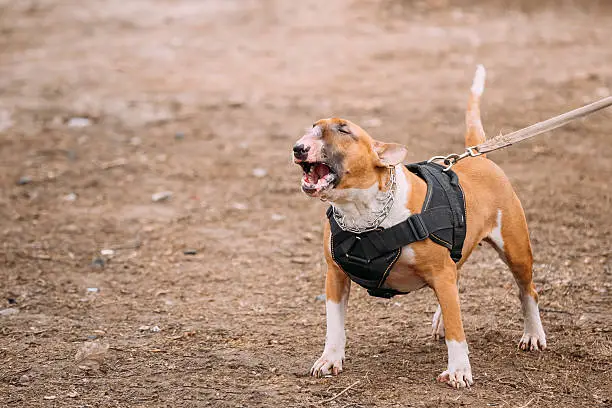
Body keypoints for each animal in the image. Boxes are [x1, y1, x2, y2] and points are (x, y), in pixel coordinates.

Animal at [292, 65, 544, 388]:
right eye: (313, 126)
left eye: (344, 130)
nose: (298, 148)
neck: (363, 213)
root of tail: (479, 157)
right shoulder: (335, 275)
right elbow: (334, 325)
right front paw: (329, 360)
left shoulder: (440, 272)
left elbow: (457, 331)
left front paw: (459, 370)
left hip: (515, 250)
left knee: (527, 291)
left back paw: (533, 334)